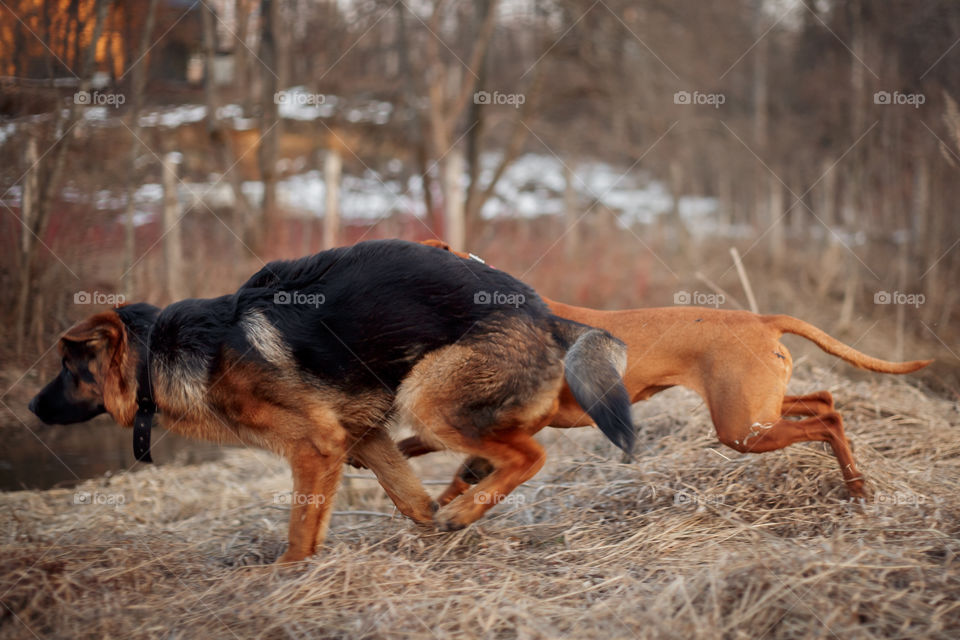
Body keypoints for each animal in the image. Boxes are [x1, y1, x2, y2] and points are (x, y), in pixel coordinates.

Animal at [28, 239, 636, 560]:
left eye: (67, 368)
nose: (31, 408)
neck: (161, 354)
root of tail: (546, 313)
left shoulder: (315, 447)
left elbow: (301, 526)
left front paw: (282, 576)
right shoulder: (359, 437)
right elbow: (407, 498)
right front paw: (427, 524)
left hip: (427, 394)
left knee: (530, 455)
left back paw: (466, 506)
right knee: (503, 446)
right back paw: (460, 501)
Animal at [396, 238, 928, 502]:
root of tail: (762, 320)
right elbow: (439, 455)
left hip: (742, 428)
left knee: (824, 420)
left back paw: (856, 487)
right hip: (760, 408)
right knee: (825, 403)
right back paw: (856, 485)